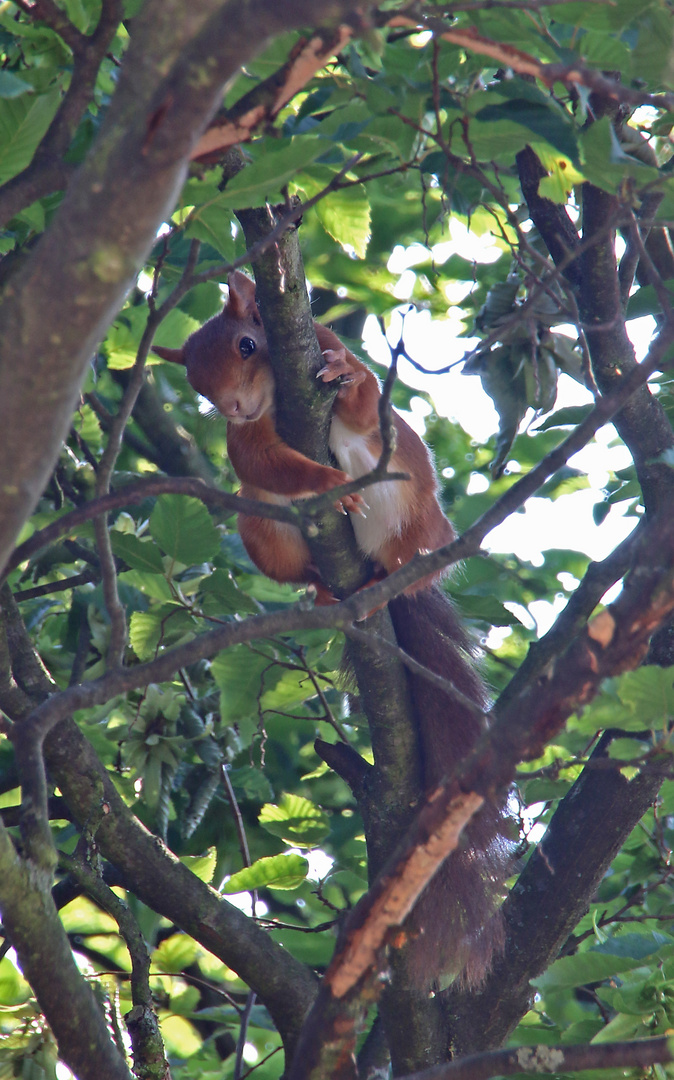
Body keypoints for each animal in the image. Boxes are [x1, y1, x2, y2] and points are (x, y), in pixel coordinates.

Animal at [154, 270, 509, 989]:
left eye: (247, 344)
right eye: (197, 384)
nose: (234, 407)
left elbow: (367, 405)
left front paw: (344, 373)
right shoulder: (249, 449)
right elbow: (268, 465)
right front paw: (322, 480)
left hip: (416, 520)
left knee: (403, 550)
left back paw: (381, 583)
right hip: (262, 530)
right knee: (293, 545)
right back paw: (324, 582)